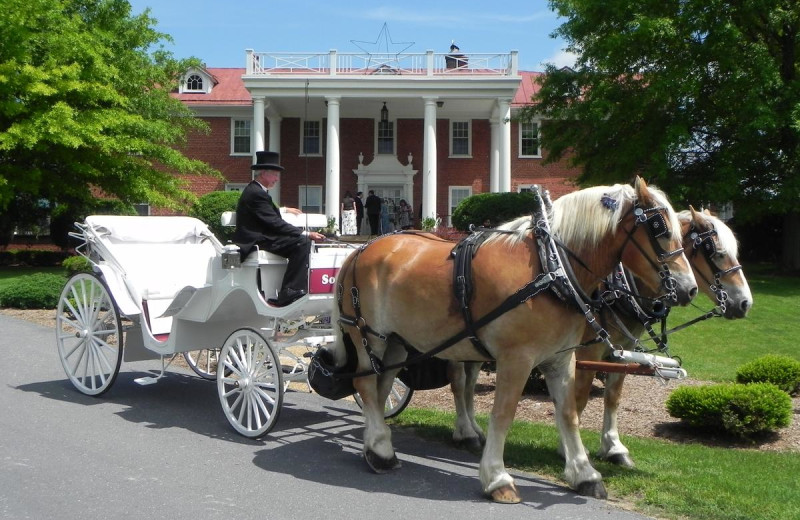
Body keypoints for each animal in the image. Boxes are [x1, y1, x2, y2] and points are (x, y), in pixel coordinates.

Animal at [328, 177, 696, 502]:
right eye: (660, 228)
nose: (688, 288)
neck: (551, 268)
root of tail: (360, 250)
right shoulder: (515, 359)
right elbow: (503, 414)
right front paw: (496, 478)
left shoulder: (561, 358)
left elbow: (569, 413)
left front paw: (584, 473)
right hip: (368, 335)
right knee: (366, 385)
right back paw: (381, 450)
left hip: (397, 343)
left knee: (382, 387)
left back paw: (376, 445)